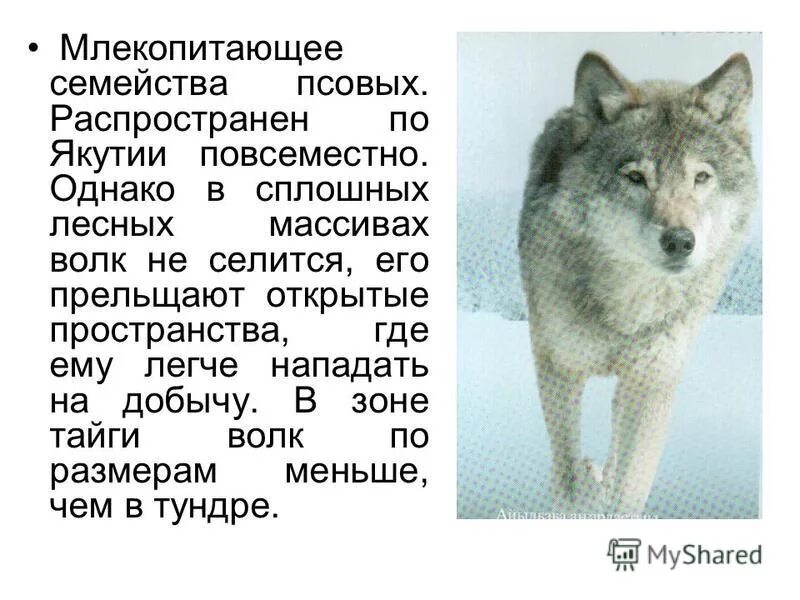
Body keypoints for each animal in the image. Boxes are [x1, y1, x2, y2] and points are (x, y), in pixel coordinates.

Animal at [518, 52, 757, 515]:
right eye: (635, 177)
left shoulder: (651, 380)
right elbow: (567, 471)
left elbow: (630, 487)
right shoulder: (558, 367)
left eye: (701, 177)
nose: (680, 240)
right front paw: (578, 496)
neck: (627, 308)